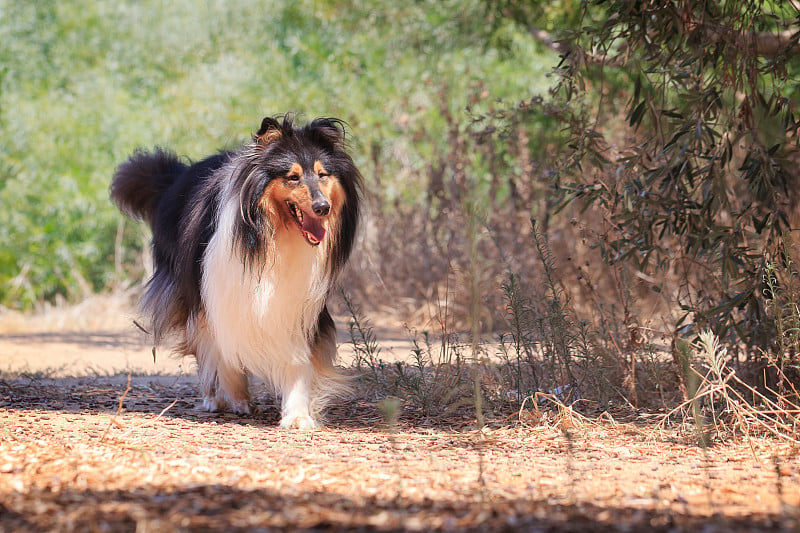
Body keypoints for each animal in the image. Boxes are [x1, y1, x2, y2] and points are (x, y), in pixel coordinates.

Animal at [111, 114, 360, 426]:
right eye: (292, 177)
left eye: (323, 174)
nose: (322, 207)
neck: (274, 237)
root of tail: (178, 175)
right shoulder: (218, 294)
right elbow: (223, 353)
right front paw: (237, 399)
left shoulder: (301, 305)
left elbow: (298, 359)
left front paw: (297, 415)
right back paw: (214, 398)